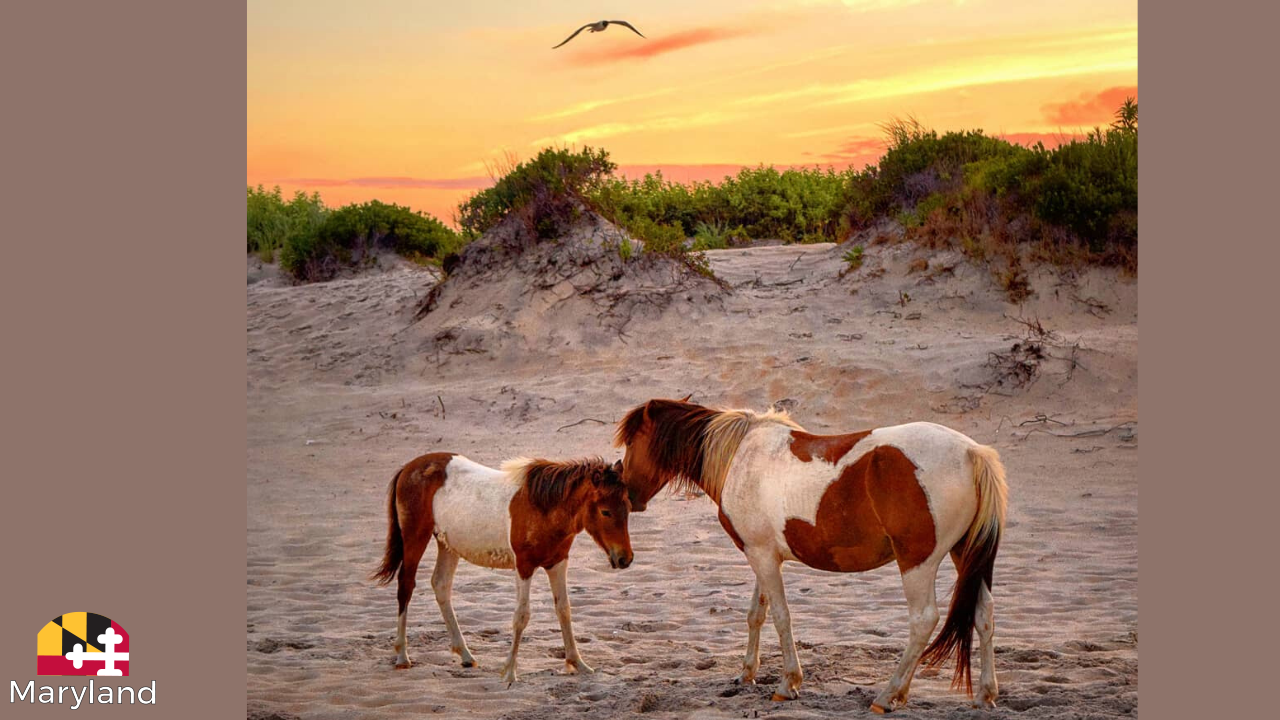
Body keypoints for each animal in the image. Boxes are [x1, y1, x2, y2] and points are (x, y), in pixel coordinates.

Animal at [373, 453, 633, 685]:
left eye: (628, 507)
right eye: (605, 511)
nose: (625, 559)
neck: (543, 507)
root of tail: (408, 468)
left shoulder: (557, 563)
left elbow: (564, 610)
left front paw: (578, 663)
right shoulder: (524, 566)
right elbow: (521, 616)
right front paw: (509, 672)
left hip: (447, 545)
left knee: (441, 585)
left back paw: (465, 654)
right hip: (415, 538)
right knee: (406, 586)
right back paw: (402, 656)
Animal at [613, 398, 1008, 713]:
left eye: (632, 441)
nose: (629, 495)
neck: (740, 456)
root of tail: (972, 454)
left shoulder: (762, 557)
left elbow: (781, 617)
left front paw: (788, 684)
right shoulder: (762, 554)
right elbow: (757, 614)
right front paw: (746, 675)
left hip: (917, 563)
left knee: (923, 621)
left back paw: (888, 695)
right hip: (965, 554)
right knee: (984, 614)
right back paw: (984, 695)